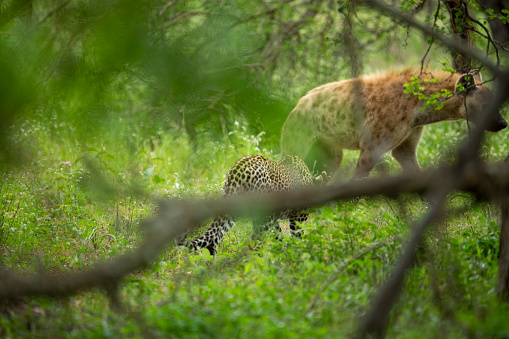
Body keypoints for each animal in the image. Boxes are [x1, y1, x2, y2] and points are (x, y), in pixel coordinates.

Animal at [179, 155, 314, 256]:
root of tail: (238, 168)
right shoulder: (299, 215)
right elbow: (297, 236)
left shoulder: (275, 218)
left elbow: (278, 236)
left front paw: (281, 252)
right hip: (262, 217)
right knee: (255, 243)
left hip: (234, 205)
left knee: (215, 235)